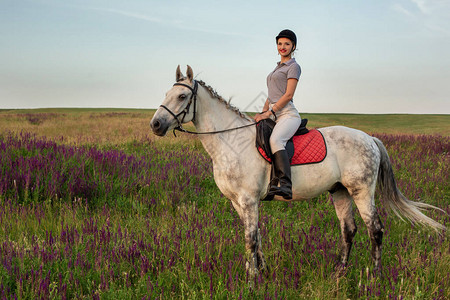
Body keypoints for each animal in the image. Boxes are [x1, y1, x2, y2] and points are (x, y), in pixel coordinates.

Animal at [149, 65, 444, 276]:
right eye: (165, 95)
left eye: (182, 96)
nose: (156, 124)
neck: (231, 142)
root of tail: (369, 138)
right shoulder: (237, 202)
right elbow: (255, 236)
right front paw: (261, 272)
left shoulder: (248, 200)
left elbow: (250, 239)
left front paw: (251, 281)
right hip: (340, 192)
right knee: (348, 230)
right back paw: (339, 273)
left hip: (361, 191)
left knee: (376, 230)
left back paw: (374, 276)